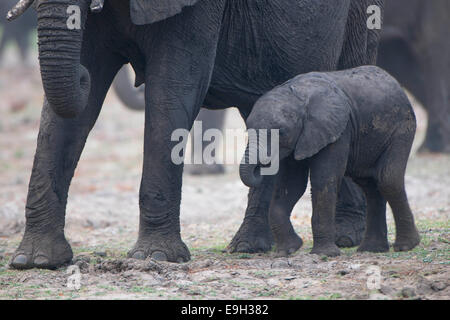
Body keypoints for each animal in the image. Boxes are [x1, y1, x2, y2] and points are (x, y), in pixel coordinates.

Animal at [241, 65, 420, 258]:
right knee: (371, 187)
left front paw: (324, 254)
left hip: (402, 128)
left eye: (281, 132)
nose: (260, 167)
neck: (298, 96)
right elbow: (292, 185)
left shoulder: (338, 130)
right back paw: (371, 249)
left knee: (388, 180)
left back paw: (405, 246)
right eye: (247, 129)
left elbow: (324, 180)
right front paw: (287, 250)